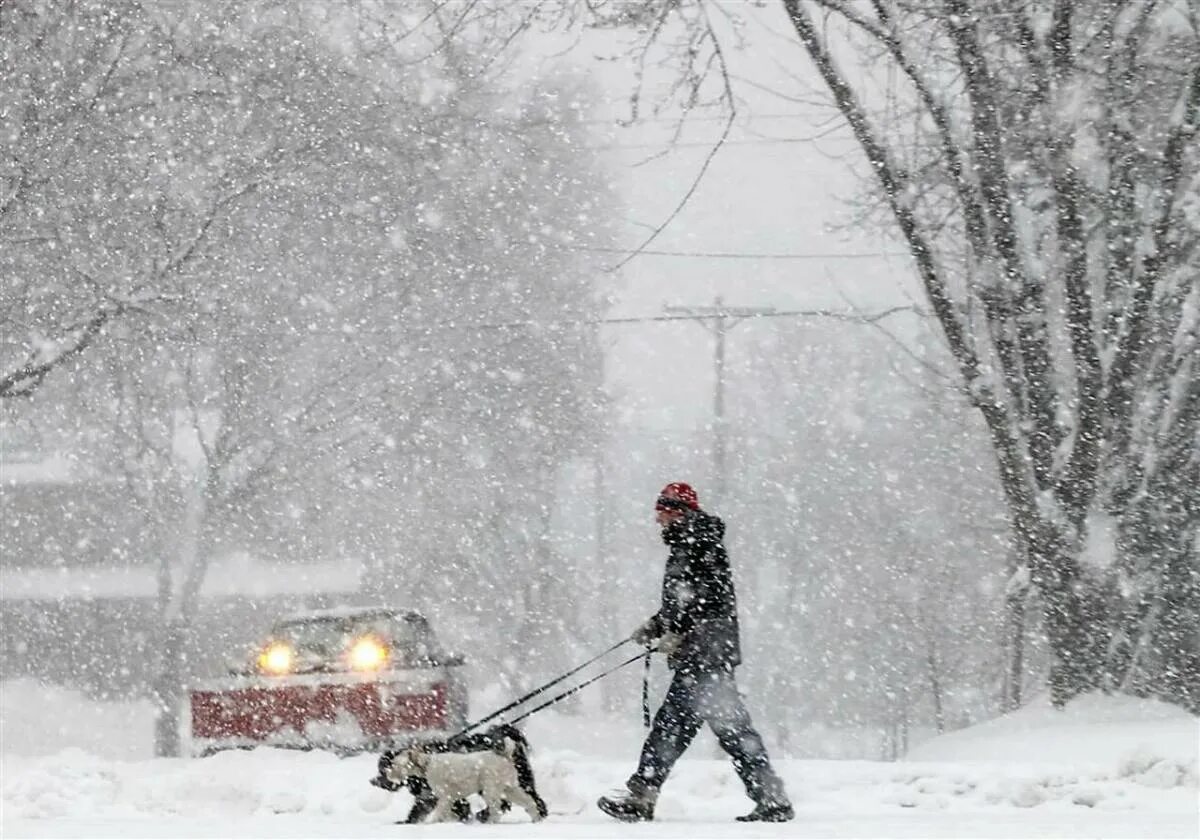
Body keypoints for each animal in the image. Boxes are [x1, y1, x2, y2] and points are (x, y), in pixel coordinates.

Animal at [369, 724, 549, 825]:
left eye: (388, 766)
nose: (373, 781)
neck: (427, 763)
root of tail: (506, 754)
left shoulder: (445, 797)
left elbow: (442, 812)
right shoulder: (438, 798)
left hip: (491, 789)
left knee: (499, 808)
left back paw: (489, 819)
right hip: (510, 788)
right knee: (529, 801)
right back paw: (536, 818)